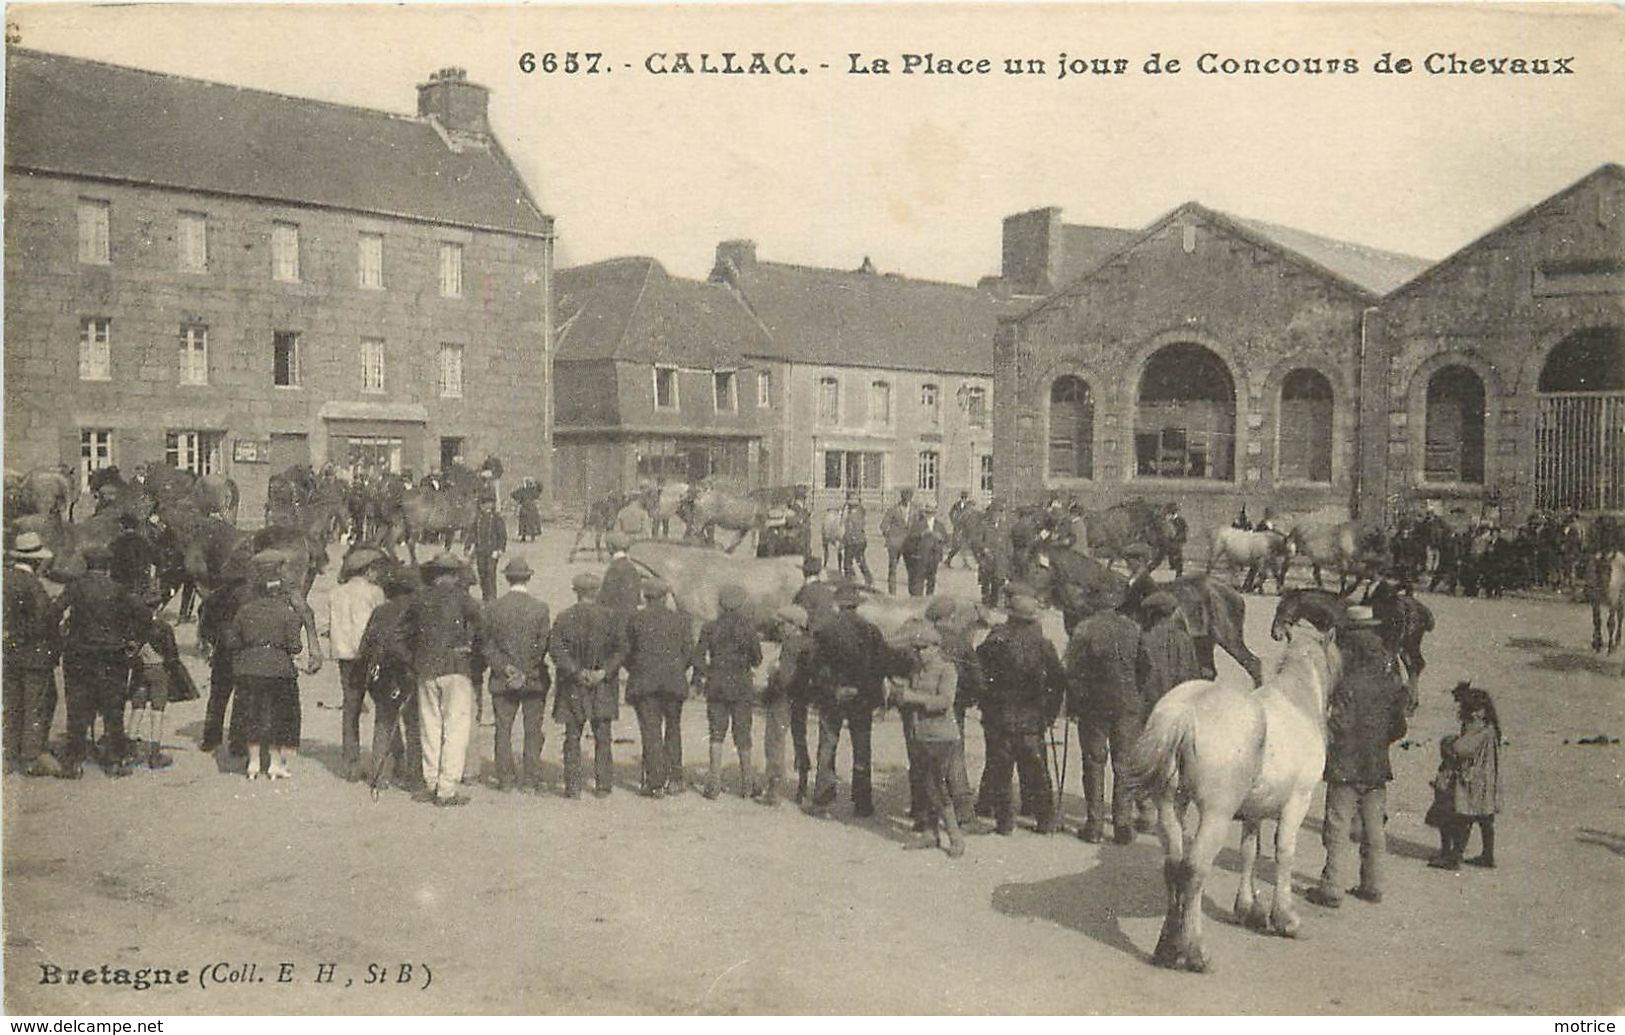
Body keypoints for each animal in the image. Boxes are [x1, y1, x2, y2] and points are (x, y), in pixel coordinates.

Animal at [1020, 545, 1261, 682]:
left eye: (1037, 567)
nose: (1017, 593)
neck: (1100, 597)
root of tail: (1231, 590)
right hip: (1204, 642)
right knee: (1208, 672)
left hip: (1228, 638)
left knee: (1253, 664)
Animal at [1131, 620, 1345, 968]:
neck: (1295, 702)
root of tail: (1185, 713)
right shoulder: (1298, 802)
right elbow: (1284, 852)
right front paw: (1285, 919)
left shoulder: (1253, 811)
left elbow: (1249, 852)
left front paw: (1248, 909)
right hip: (1215, 816)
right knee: (1193, 870)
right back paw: (1196, 953)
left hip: (1170, 806)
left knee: (1174, 866)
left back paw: (1168, 949)